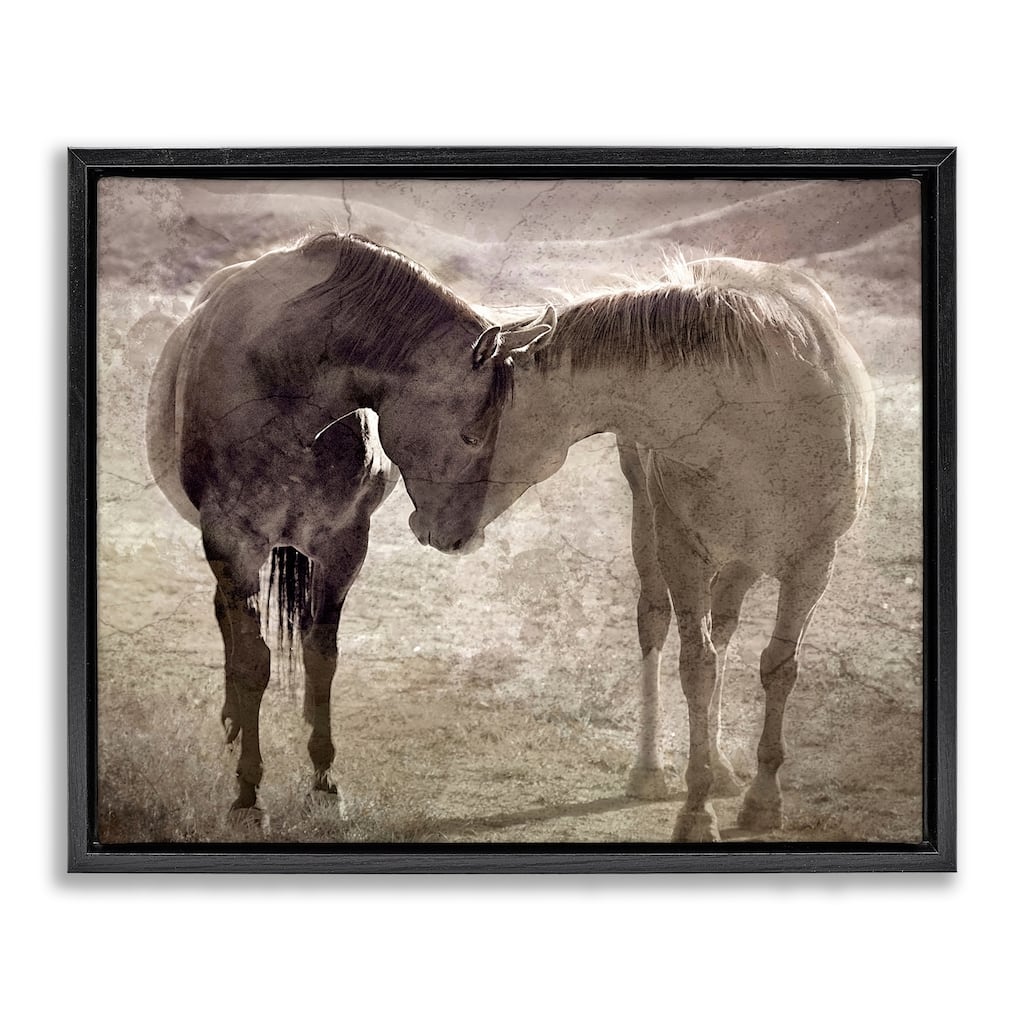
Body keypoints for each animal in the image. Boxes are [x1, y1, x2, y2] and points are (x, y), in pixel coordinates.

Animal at [146, 232, 555, 821]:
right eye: (472, 435)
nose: (462, 537)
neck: (283, 385)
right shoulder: (231, 541)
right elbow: (253, 661)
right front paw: (248, 791)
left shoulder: (342, 547)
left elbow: (322, 657)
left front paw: (323, 778)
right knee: (228, 619)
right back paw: (232, 722)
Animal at [412, 256, 876, 842]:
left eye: (471, 435)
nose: (425, 526)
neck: (756, 419)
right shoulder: (682, 553)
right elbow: (695, 668)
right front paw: (696, 811)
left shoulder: (813, 563)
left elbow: (778, 668)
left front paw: (763, 799)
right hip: (651, 530)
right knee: (655, 622)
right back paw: (650, 770)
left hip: (743, 560)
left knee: (726, 629)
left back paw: (723, 766)